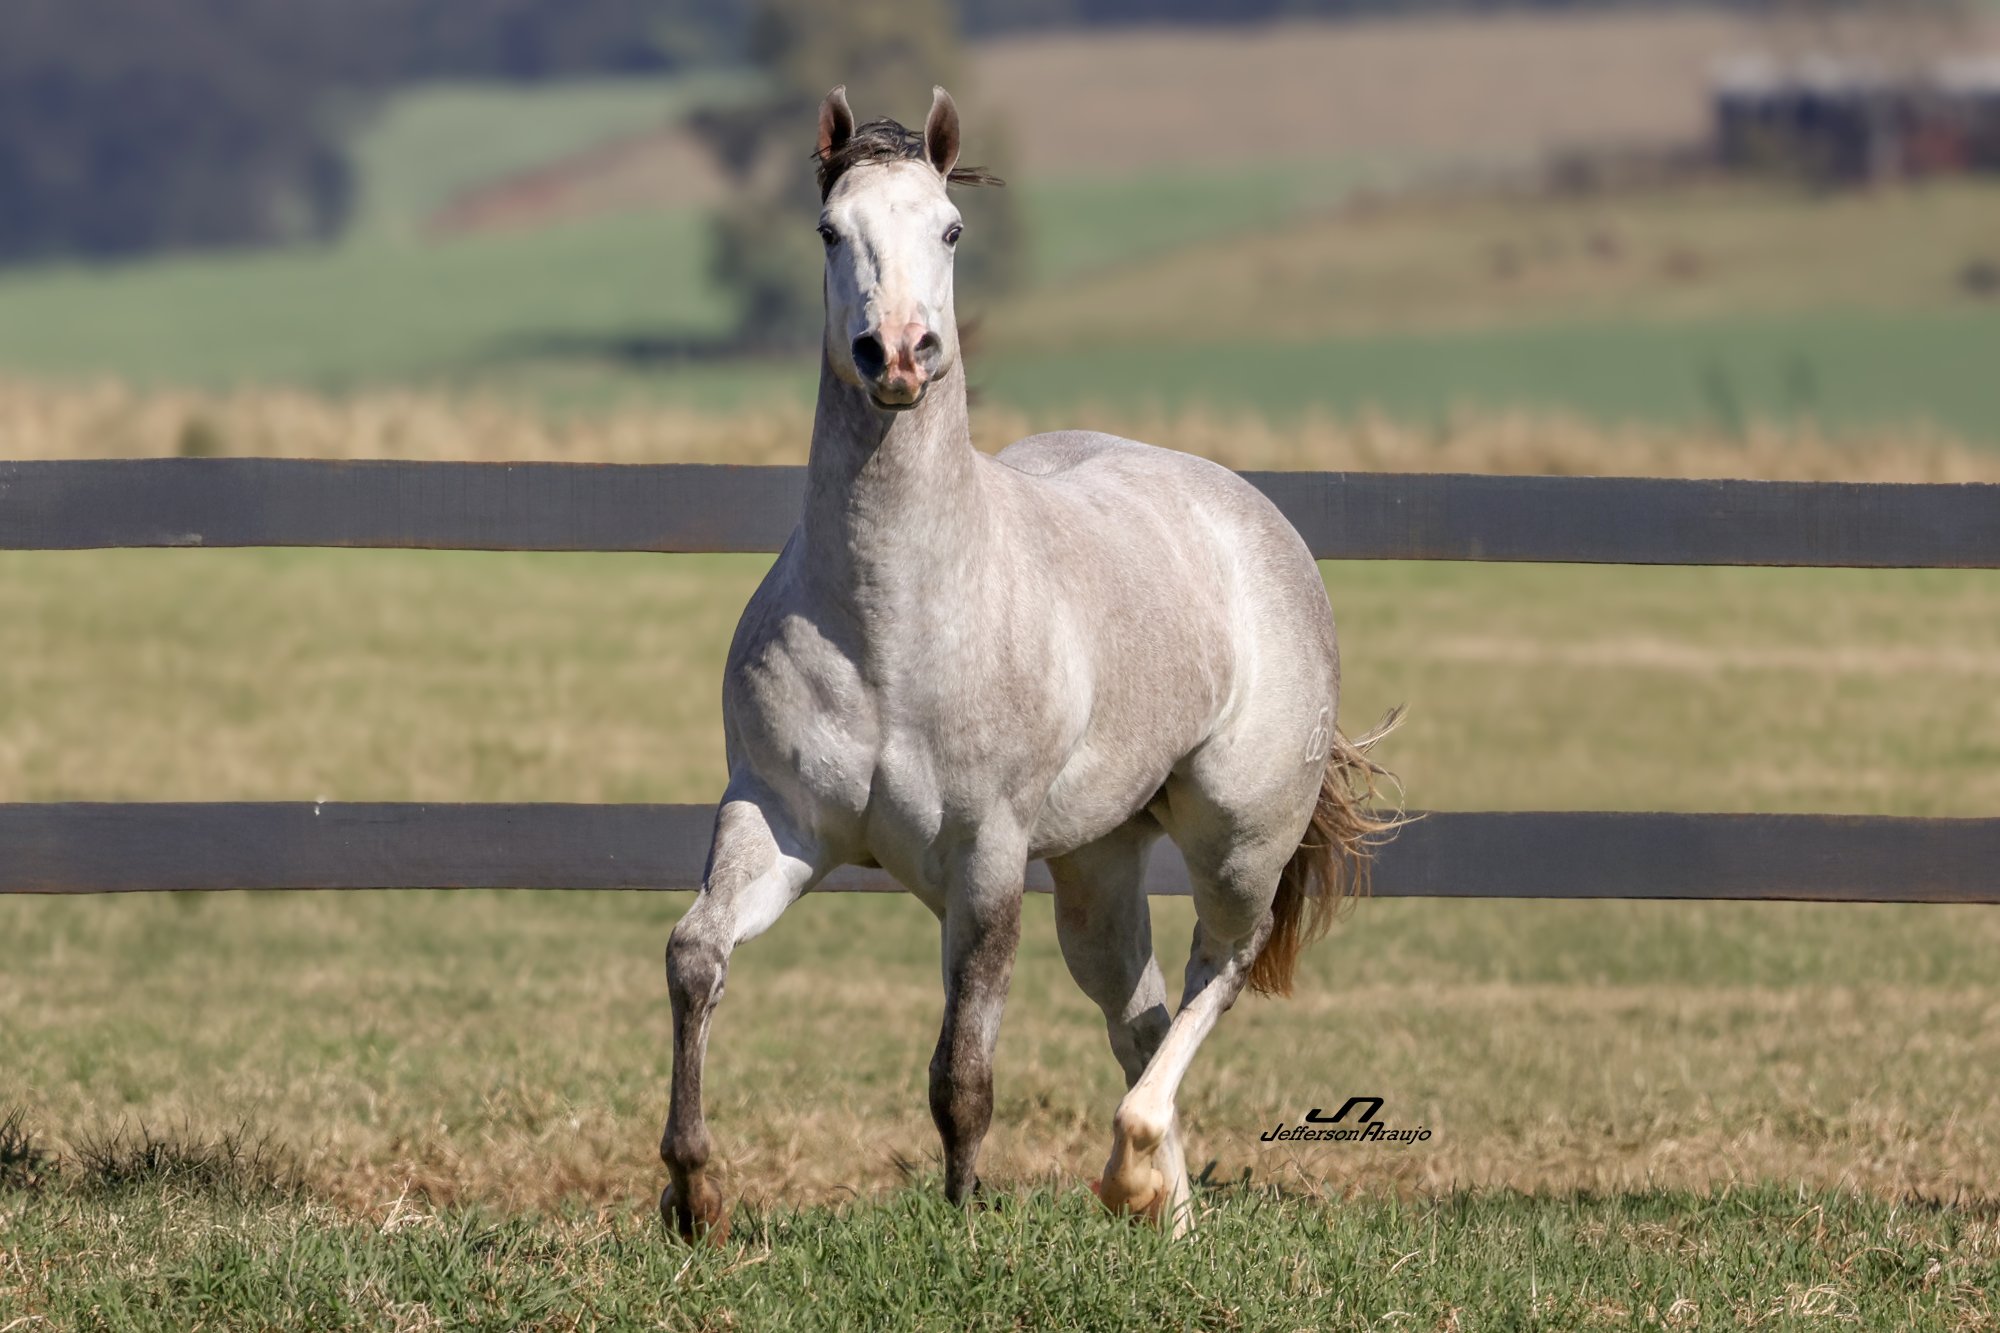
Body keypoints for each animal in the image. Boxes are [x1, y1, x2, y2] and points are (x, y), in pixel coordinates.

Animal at [659, 84, 1399, 1241]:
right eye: (829, 231)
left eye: (951, 230)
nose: (897, 354)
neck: (895, 622)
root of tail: (1250, 514)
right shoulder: (777, 820)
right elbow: (696, 957)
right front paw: (694, 1194)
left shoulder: (986, 855)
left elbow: (963, 1068)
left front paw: (964, 1218)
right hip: (1097, 866)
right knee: (1140, 1008)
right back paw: (1168, 1212)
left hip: (1238, 834)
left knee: (1219, 969)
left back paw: (1135, 1168)